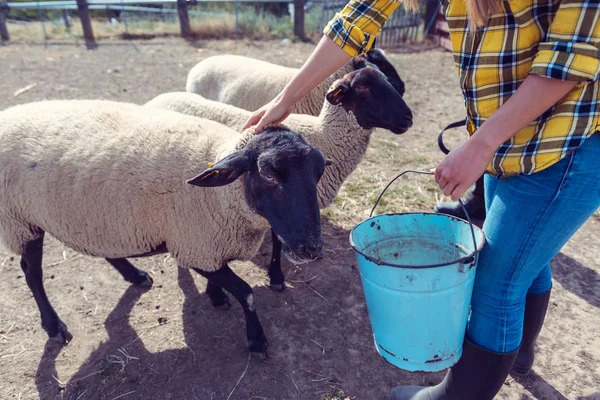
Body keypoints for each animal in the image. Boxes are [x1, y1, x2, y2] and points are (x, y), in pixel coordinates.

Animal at [0, 100, 328, 354]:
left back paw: (135, 276)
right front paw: (256, 340)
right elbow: (246, 292)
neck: (224, 196)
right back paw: (54, 326)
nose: (312, 247)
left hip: (97, 217)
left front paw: (216, 295)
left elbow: (225, 280)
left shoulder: (207, 246)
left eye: (318, 172)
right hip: (20, 220)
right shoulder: (195, 246)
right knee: (32, 273)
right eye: (268, 175)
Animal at [145, 65, 412, 290]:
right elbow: (276, 240)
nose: (408, 118)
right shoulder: (277, 203)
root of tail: (161, 97)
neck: (324, 134)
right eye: (365, 88)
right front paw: (276, 275)